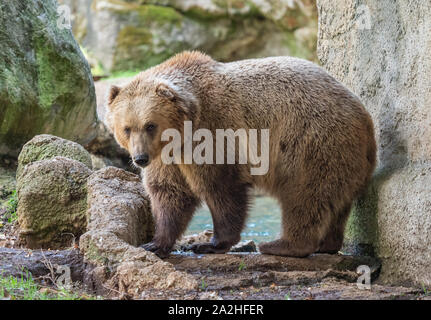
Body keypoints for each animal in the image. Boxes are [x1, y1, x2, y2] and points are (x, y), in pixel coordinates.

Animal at [106, 51, 376, 258]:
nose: (140, 159)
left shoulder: (213, 133)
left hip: (314, 142)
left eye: (150, 125)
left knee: (304, 195)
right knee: (336, 202)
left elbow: (220, 187)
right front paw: (155, 243)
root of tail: (365, 117)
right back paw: (326, 244)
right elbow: (170, 193)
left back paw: (281, 245)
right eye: (127, 128)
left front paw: (210, 243)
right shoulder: (168, 156)